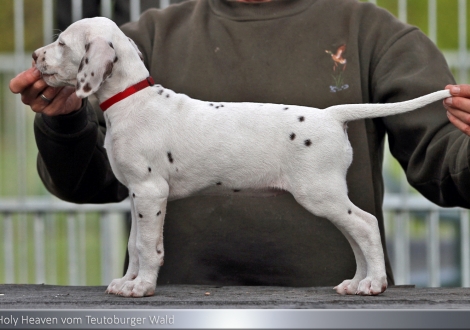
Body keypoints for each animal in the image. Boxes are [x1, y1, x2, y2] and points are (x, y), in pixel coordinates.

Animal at [33, 16, 452, 298]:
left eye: (62, 43)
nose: (35, 55)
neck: (132, 99)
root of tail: (332, 115)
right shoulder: (138, 195)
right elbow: (135, 245)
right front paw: (127, 282)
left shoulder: (151, 192)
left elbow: (148, 247)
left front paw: (143, 287)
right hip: (328, 195)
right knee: (357, 232)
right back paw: (358, 281)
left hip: (319, 192)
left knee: (365, 225)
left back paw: (374, 283)